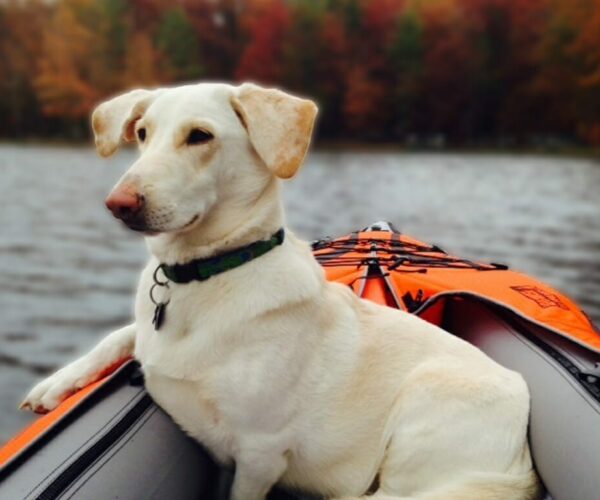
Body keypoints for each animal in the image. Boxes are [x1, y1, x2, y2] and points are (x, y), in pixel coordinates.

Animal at [21, 83, 540, 500]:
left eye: (200, 136)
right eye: (143, 133)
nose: (118, 204)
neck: (207, 275)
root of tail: (522, 465)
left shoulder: (261, 454)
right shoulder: (152, 333)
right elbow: (118, 335)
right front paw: (56, 384)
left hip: (427, 402)